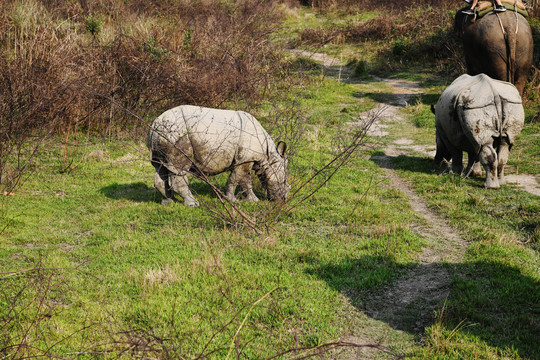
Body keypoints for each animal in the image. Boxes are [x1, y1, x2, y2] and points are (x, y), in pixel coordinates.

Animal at [147, 105, 292, 205]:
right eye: (284, 181)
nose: (283, 199)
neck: (269, 156)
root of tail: (155, 123)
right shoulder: (244, 159)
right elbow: (236, 179)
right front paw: (233, 200)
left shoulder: (246, 159)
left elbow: (245, 181)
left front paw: (253, 201)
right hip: (177, 134)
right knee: (179, 167)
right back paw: (193, 204)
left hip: (163, 136)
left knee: (160, 166)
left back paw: (170, 202)